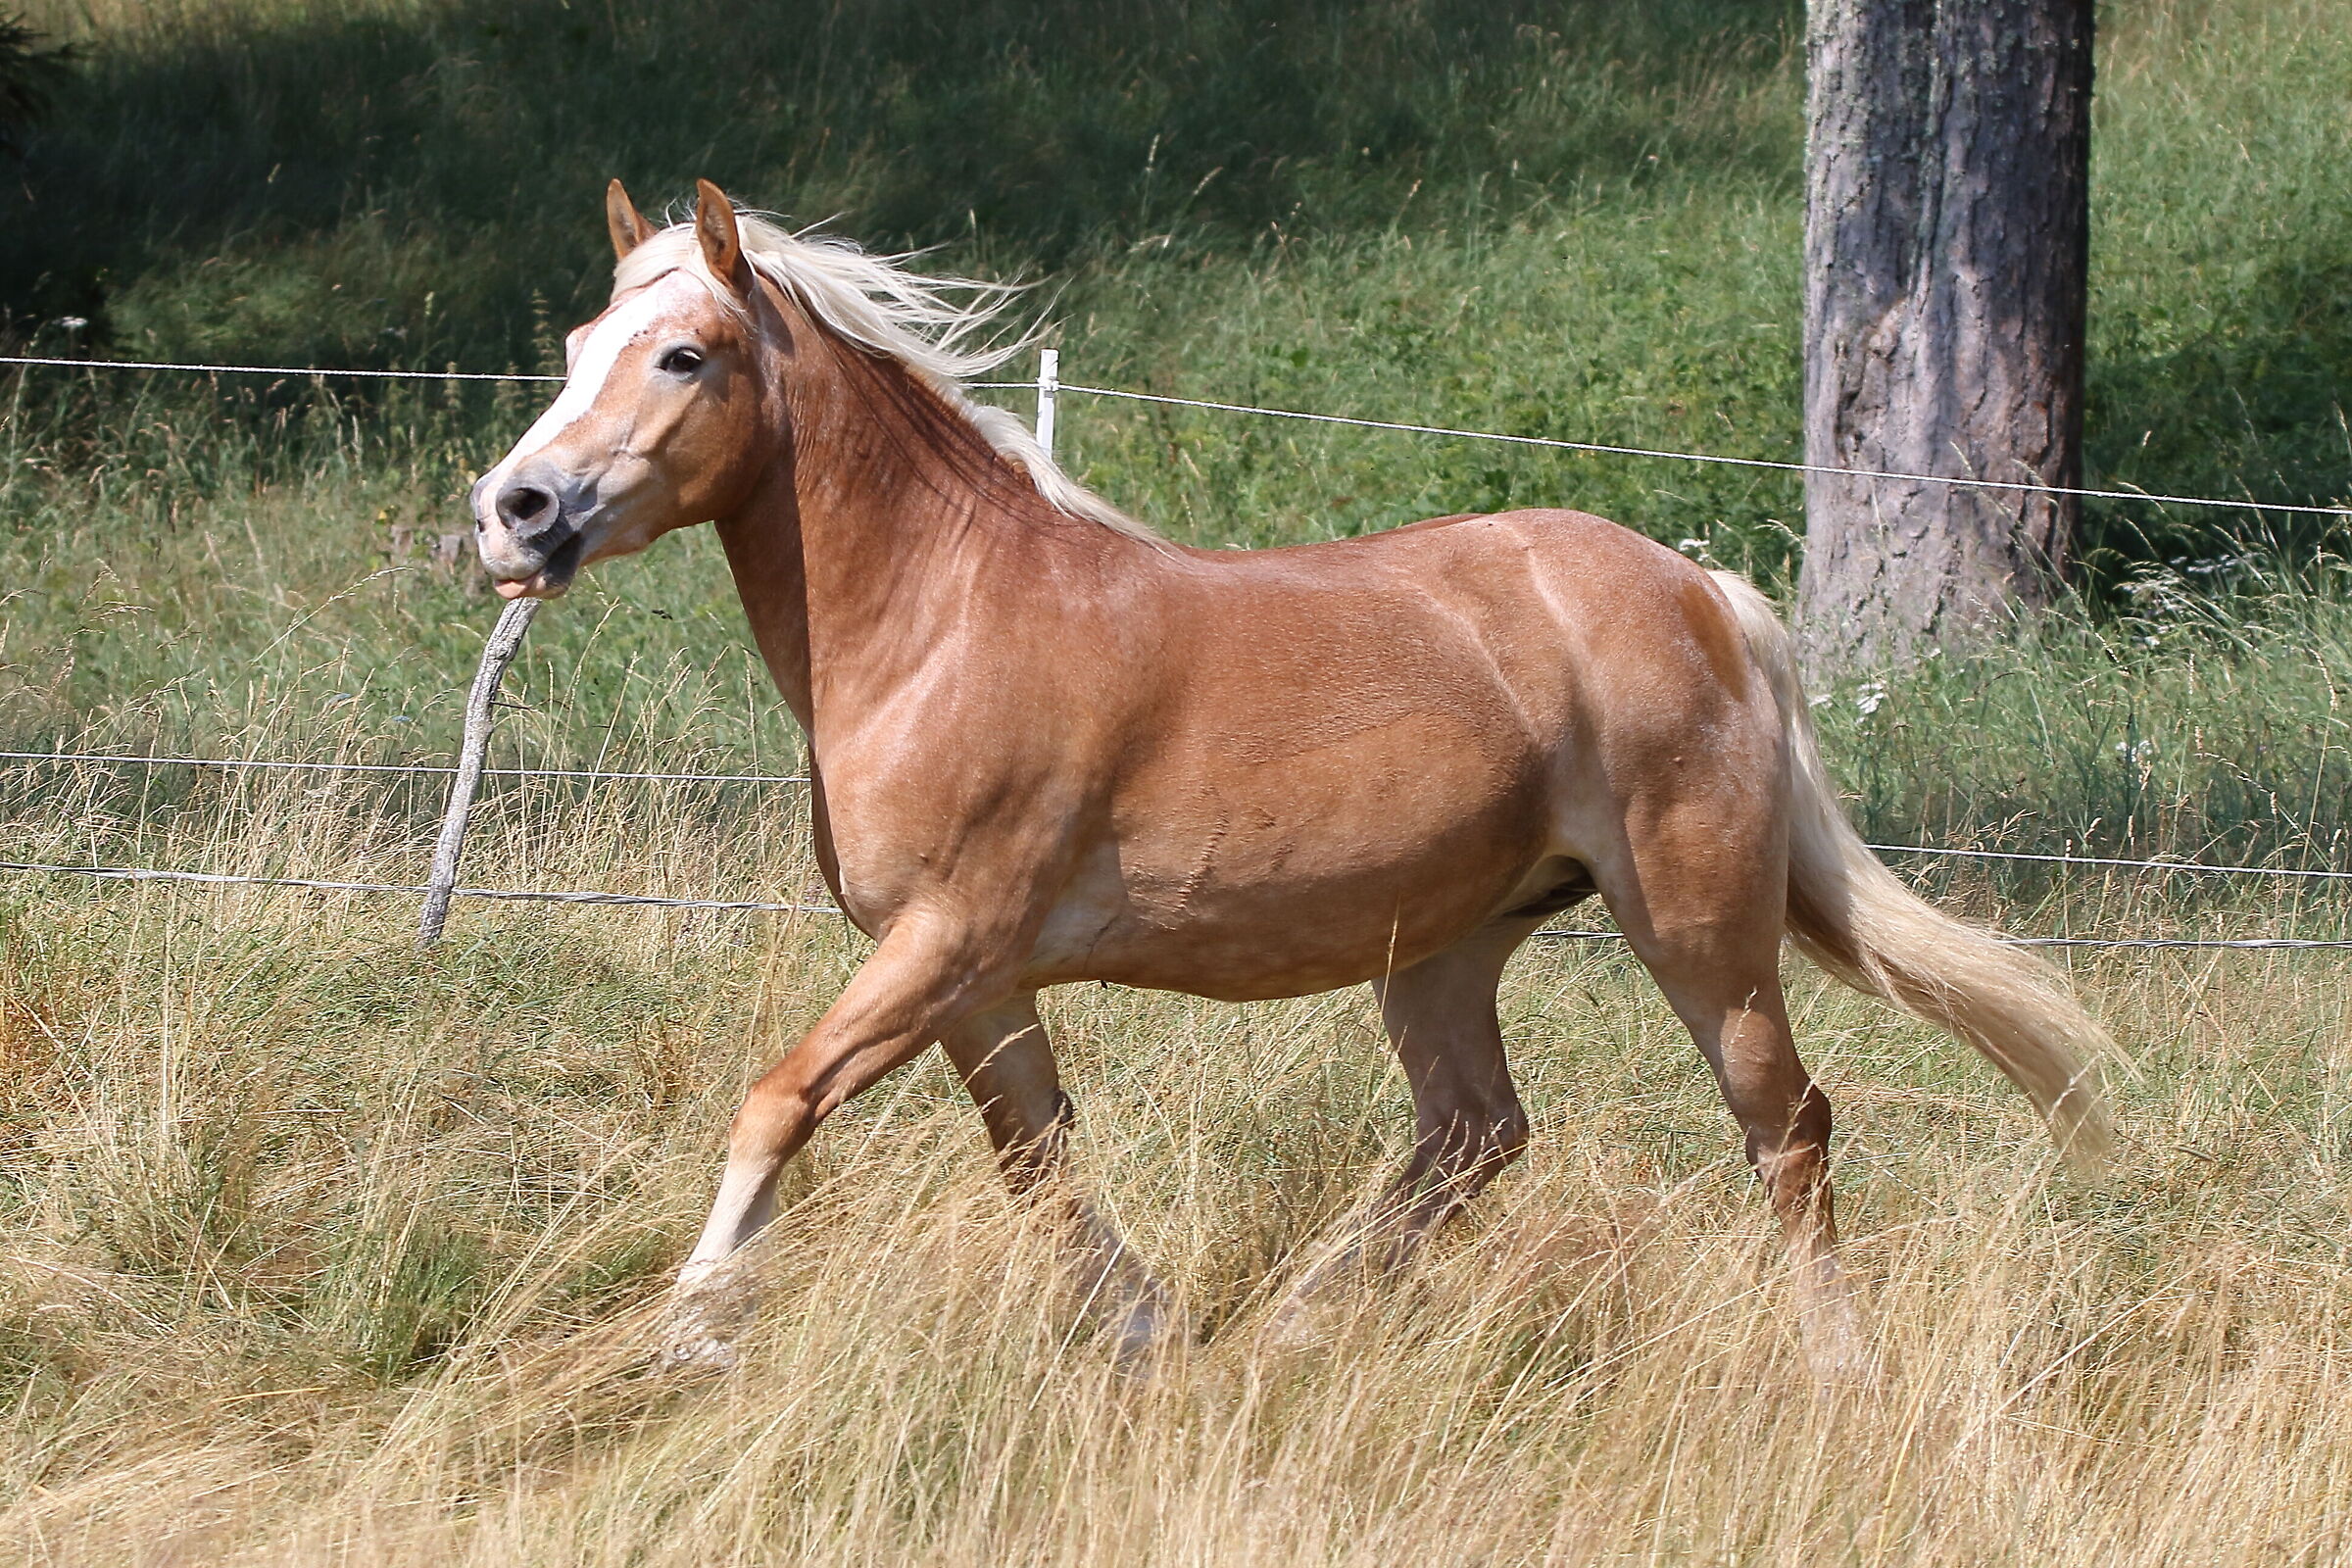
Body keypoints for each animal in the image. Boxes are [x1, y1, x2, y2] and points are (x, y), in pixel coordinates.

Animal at [468, 179, 2113, 1375]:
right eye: (575, 348)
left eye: (684, 354)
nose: (513, 511)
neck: (946, 622)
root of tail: (1705, 593)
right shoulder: (970, 979)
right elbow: (1037, 1160)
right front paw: (1145, 1333)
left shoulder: (946, 942)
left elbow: (780, 1101)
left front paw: (690, 1330)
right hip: (1448, 945)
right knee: (1475, 1134)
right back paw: (1296, 1326)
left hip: (1700, 930)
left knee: (1787, 1126)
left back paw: (1839, 1364)